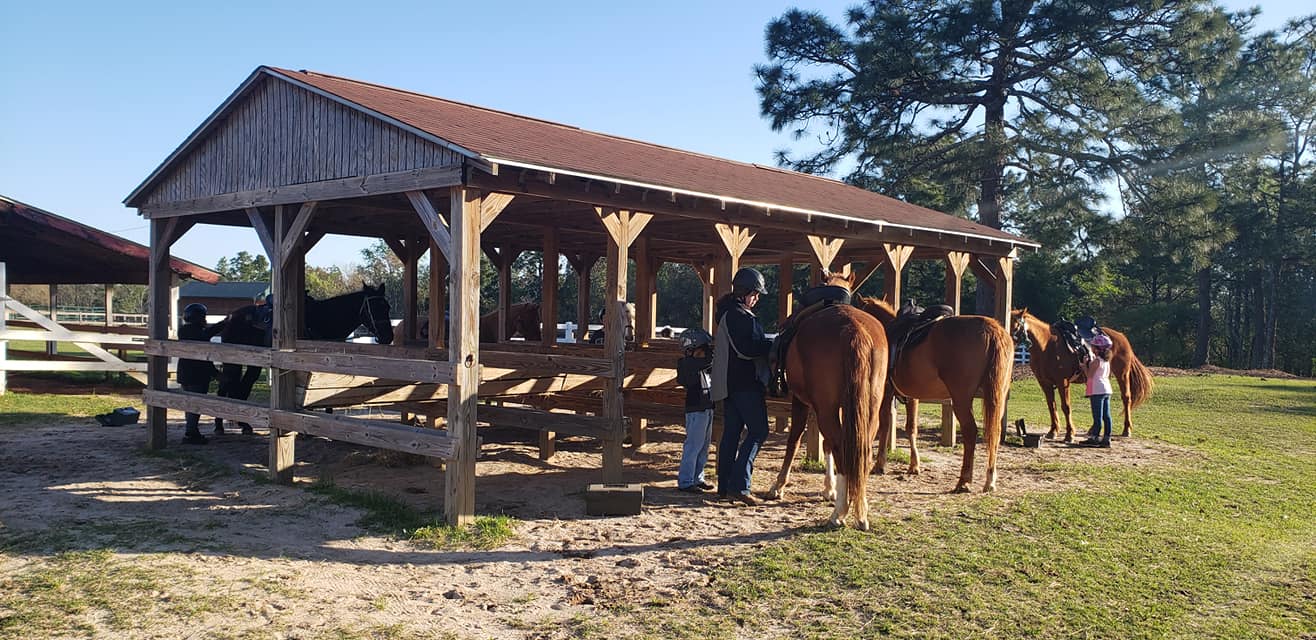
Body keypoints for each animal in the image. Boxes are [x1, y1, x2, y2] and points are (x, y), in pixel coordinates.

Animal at [211, 284, 389, 434]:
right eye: (374, 308)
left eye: (387, 307)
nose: (387, 337)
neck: (323, 320)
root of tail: (230, 317)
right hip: (232, 362)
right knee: (225, 386)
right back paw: (220, 425)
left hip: (252, 363)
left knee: (244, 385)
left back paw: (244, 424)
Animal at [768, 272, 889, 526]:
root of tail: (854, 329)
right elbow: (826, 445)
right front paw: (829, 488)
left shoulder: (803, 402)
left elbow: (795, 440)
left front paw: (779, 485)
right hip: (868, 408)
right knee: (861, 452)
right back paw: (860, 510)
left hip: (826, 409)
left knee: (842, 448)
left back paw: (839, 513)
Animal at [858, 297, 1010, 492]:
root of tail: (992, 329)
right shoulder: (912, 396)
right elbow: (911, 427)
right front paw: (914, 465)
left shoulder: (886, 392)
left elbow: (885, 424)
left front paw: (880, 464)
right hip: (997, 398)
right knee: (994, 432)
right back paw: (990, 480)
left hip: (961, 400)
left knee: (971, 432)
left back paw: (964, 480)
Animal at [1010, 309, 1147, 439]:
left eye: (1016, 327)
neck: (1047, 346)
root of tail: (1121, 336)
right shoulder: (1044, 383)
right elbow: (1051, 406)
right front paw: (1053, 431)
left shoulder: (1063, 382)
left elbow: (1066, 407)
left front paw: (1069, 434)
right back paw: (1093, 429)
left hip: (1122, 375)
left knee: (1126, 398)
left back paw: (1127, 429)